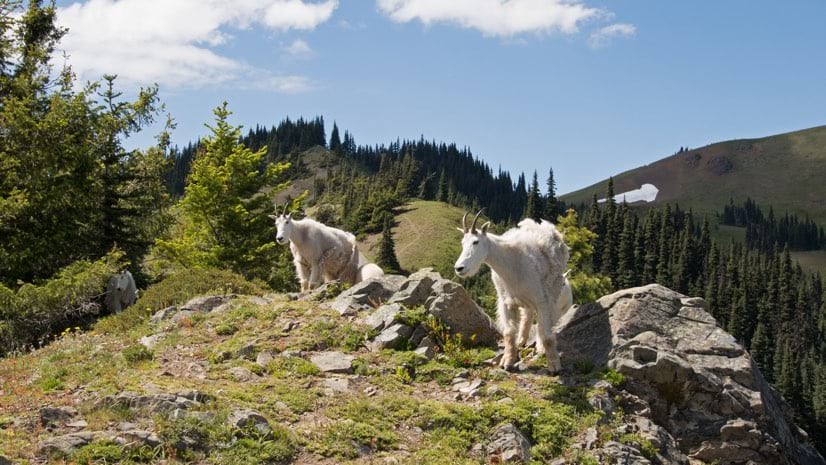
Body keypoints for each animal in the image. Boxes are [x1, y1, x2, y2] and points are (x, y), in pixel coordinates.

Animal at [454, 212, 568, 372]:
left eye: (476, 242)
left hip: (554, 289)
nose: (459, 268)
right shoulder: (506, 301)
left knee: (544, 322)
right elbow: (508, 333)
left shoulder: (542, 300)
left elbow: (546, 334)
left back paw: (539, 347)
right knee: (527, 315)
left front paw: (554, 365)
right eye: (462, 243)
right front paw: (507, 361)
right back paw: (521, 340)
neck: (510, 264)